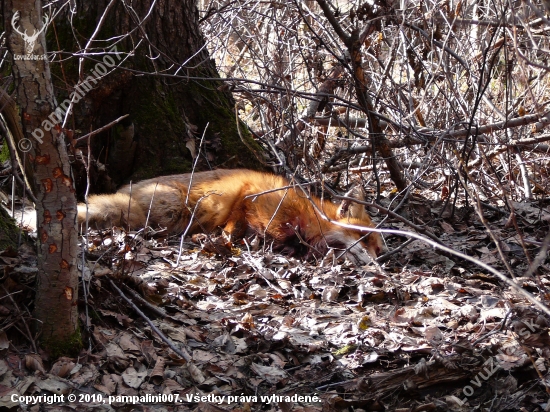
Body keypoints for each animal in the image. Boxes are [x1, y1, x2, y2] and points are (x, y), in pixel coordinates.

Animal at [78, 168, 384, 262]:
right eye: (364, 238)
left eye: (378, 248)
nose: (378, 263)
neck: (308, 216)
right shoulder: (250, 195)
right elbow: (237, 227)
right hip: (175, 209)